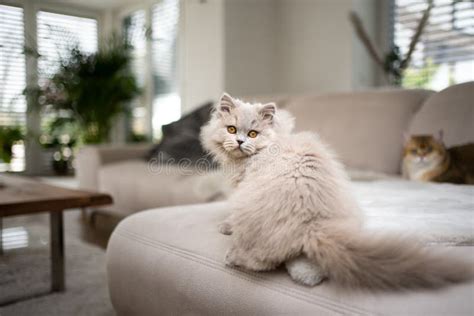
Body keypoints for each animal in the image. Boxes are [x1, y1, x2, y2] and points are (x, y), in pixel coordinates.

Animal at [201, 92, 474, 290]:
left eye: (253, 133)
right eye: (231, 129)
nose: (240, 141)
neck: (275, 142)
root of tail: (313, 223)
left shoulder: (241, 186)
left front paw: (225, 226)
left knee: (260, 263)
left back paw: (232, 256)